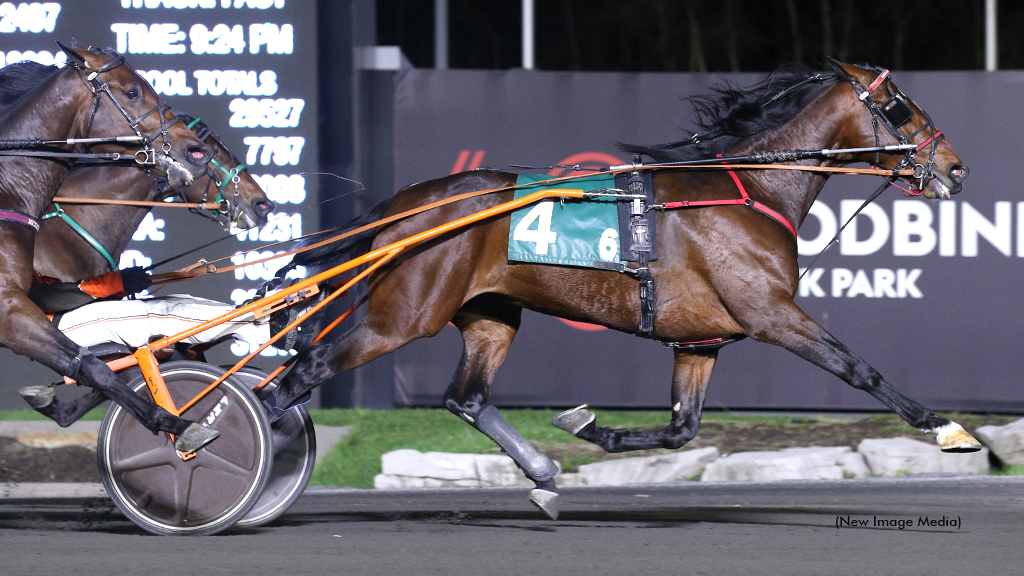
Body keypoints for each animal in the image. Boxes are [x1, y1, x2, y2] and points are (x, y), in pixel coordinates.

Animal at [272, 59, 974, 516]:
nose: (955, 167)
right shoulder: (771, 313)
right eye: (898, 106)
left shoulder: (700, 341)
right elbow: (858, 370)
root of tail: (407, 206)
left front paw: (590, 429)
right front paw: (945, 428)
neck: (752, 189)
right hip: (402, 316)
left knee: (465, 398)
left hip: (490, 314)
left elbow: (681, 429)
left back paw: (542, 473)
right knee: (300, 374)